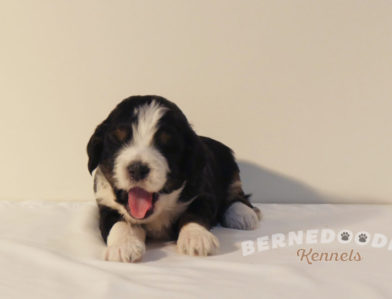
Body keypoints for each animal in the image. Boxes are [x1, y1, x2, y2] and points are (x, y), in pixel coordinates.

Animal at [88, 96, 260, 262]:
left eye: (166, 145)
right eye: (118, 140)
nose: (137, 169)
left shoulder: (202, 192)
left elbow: (194, 213)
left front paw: (196, 238)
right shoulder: (105, 205)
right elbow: (119, 223)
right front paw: (123, 246)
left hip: (232, 171)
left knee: (237, 196)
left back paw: (244, 215)